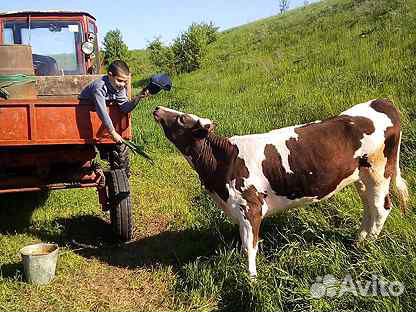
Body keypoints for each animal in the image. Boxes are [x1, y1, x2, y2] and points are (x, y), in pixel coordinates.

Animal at [154, 99, 410, 276]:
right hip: (362, 178)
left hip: (379, 171)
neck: (222, 162)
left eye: (181, 118)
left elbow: (250, 247)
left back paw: (367, 246)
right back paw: (358, 241)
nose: (156, 108)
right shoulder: (239, 210)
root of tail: (381, 101)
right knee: (369, 207)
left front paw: (251, 279)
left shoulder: (251, 207)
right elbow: (245, 244)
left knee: (382, 208)